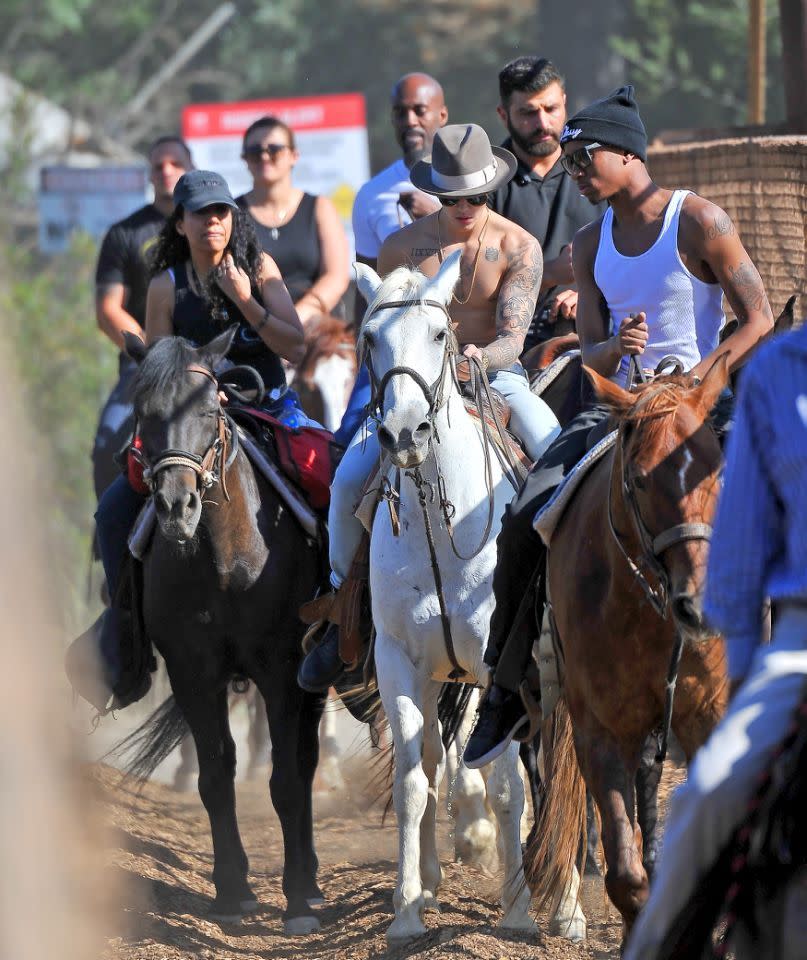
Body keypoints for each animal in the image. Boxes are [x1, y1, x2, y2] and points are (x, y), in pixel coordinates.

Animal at [114, 332, 328, 936]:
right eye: (144, 414)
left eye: (210, 410)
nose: (176, 505)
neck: (223, 559)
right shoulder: (193, 671)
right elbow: (214, 776)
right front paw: (232, 891)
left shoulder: (281, 671)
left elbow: (285, 780)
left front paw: (297, 901)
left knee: (304, 762)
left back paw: (310, 880)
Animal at [356, 251, 588, 940]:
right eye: (370, 339)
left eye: (439, 335)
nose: (405, 431)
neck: (441, 530)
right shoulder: (400, 664)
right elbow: (414, 781)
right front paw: (408, 913)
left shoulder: (499, 668)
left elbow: (511, 787)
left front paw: (518, 913)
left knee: (557, 773)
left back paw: (566, 907)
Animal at [524, 358, 732, 936]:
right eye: (639, 480)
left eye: (716, 471)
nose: (700, 607)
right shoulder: (600, 730)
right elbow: (625, 875)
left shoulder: (706, 716)